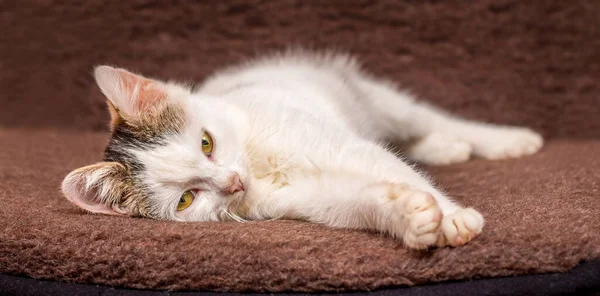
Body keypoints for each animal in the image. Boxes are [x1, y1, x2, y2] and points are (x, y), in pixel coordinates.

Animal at [62, 49, 544, 249]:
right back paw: (447, 149)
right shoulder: (306, 199)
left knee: (427, 120)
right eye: (185, 200)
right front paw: (410, 218)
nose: (233, 182)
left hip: (376, 99)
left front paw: (453, 217)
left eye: (206, 142)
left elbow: (391, 166)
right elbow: (357, 199)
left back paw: (503, 140)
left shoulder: (342, 148)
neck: (257, 163)